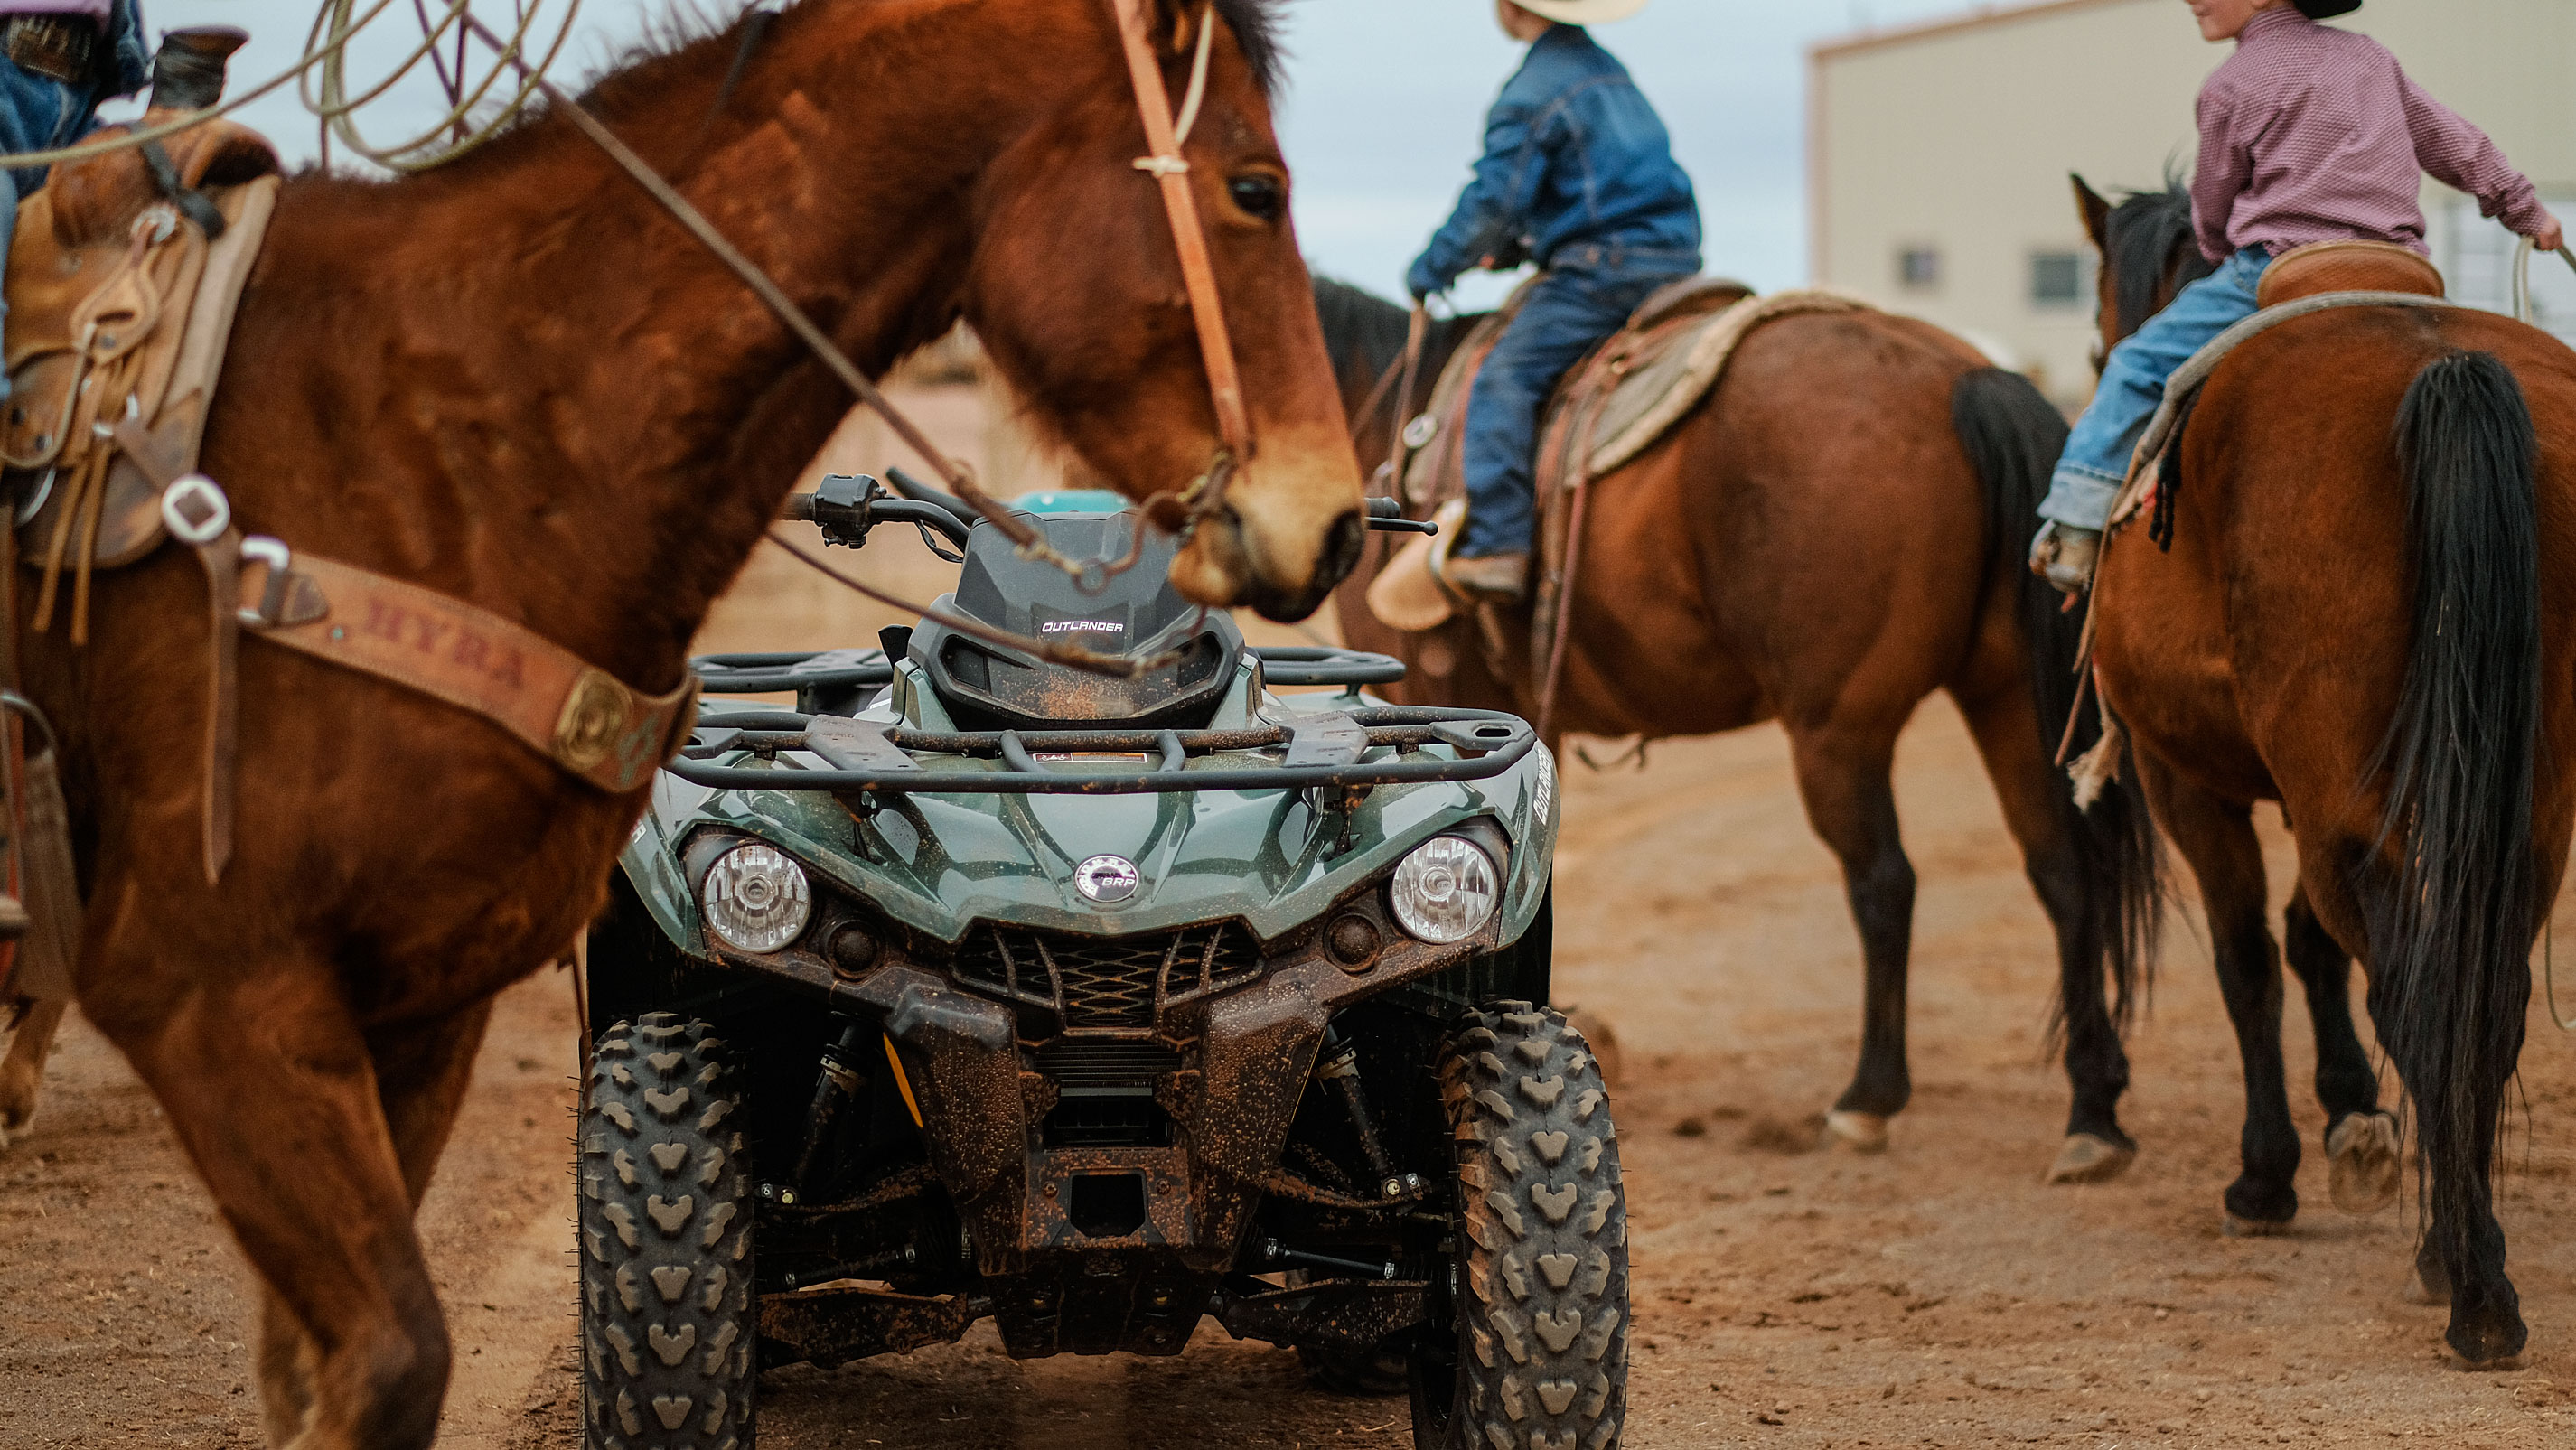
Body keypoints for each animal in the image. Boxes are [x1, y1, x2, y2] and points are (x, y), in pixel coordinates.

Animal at [1318, 268, 2163, 1179]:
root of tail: (1966, 376)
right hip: (2003, 694)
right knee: (2062, 872)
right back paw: (2092, 1112)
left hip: (1838, 729)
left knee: (1885, 883)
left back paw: (1868, 1098)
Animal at [2071, 176, 2576, 1370]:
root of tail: (2446, 367)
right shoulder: (2326, 803)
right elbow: (2308, 946)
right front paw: (2352, 1121)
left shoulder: (2195, 784)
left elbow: (2251, 961)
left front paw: (2268, 1175)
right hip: (2525, 813)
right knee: (2477, 1000)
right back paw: (2458, 1254)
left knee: (2412, 994)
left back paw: (2472, 1289)